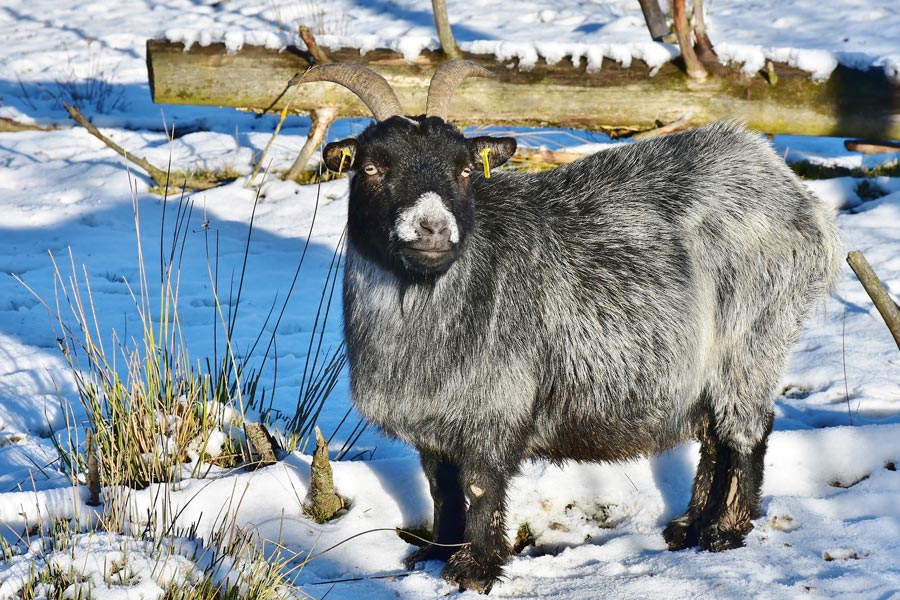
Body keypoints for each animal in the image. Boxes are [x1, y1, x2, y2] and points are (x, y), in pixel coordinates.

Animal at [293, 60, 840, 593]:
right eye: (372, 167)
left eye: (465, 170)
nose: (432, 228)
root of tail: (797, 194)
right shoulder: (433, 423)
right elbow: (441, 486)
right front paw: (435, 554)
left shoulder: (495, 406)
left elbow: (480, 485)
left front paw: (475, 569)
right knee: (712, 438)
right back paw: (689, 527)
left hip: (753, 338)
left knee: (747, 432)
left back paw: (726, 531)